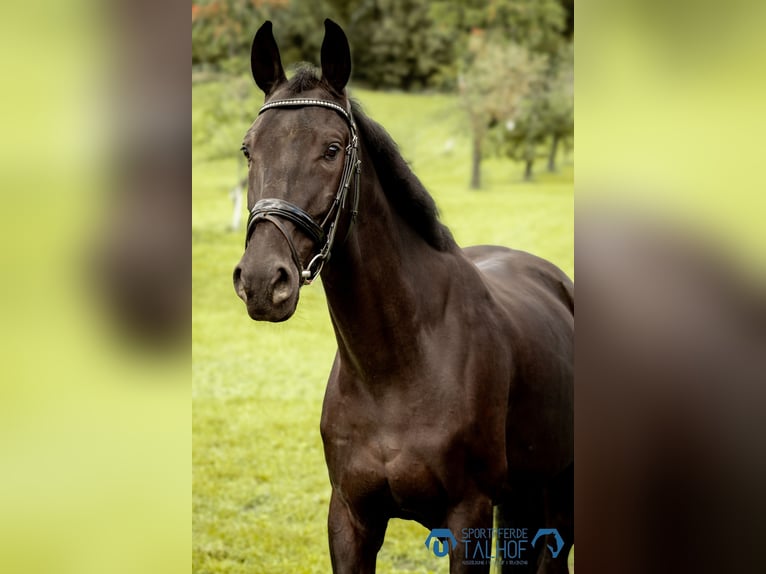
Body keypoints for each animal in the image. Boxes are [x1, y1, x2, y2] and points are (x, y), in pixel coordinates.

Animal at [233, 19, 574, 574]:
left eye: (332, 148)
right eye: (249, 149)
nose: (263, 281)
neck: (396, 366)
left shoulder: (468, 516)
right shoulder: (351, 518)